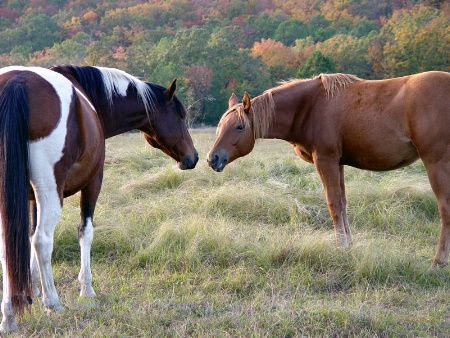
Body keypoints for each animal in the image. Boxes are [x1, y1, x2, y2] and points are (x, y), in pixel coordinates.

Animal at [0, 64, 197, 332]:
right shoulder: (93, 183)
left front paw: (32, 291)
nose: (193, 157)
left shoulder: (29, 198)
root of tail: (17, 82)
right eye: (181, 115)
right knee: (42, 240)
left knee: (10, 246)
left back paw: (9, 315)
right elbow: (85, 232)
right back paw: (52, 303)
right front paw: (86, 289)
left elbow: (26, 238)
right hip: (52, 192)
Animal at [207, 71, 450, 266]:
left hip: (436, 163)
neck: (310, 105)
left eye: (240, 126)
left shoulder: (326, 160)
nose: (212, 158)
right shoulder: (338, 163)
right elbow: (342, 203)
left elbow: (333, 204)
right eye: (221, 125)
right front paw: (348, 244)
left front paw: (340, 247)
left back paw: (439, 260)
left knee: (445, 208)